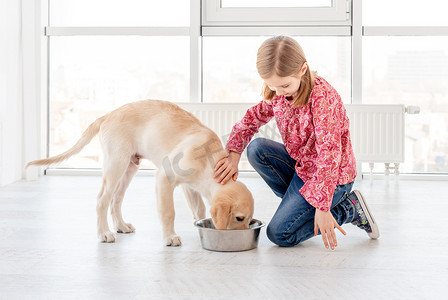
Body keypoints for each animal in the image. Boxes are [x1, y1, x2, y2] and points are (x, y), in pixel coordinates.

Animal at [26, 99, 254, 245]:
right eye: (239, 218)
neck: (208, 161)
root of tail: (108, 114)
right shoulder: (165, 178)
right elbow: (169, 211)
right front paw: (170, 236)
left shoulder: (190, 187)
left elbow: (198, 209)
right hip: (116, 163)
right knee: (102, 199)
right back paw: (104, 233)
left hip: (129, 167)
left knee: (116, 199)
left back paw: (120, 225)